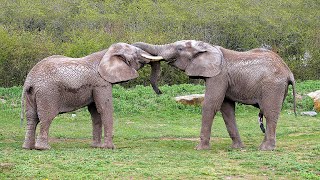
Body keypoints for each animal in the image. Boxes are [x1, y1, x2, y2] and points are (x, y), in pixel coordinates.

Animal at [20, 43, 162, 150]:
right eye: (136, 53)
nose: (160, 92)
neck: (106, 53)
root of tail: (29, 81)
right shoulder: (101, 83)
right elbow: (104, 108)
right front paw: (109, 148)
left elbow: (95, 113)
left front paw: (96, 147)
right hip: (47, 93)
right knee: (46, 117)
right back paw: (44, 148)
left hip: (32, 94)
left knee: (31, 117)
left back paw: (28, 147)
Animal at [133, 40, 298, 150]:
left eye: (179, 48)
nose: (160, 91)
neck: (208, 47)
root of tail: (289, 72)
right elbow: (226, 109)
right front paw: (236, 148)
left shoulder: (219, 76)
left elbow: (211, 104)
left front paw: (200, 149)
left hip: (273, 86)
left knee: (270, 113)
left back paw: (265, 149)